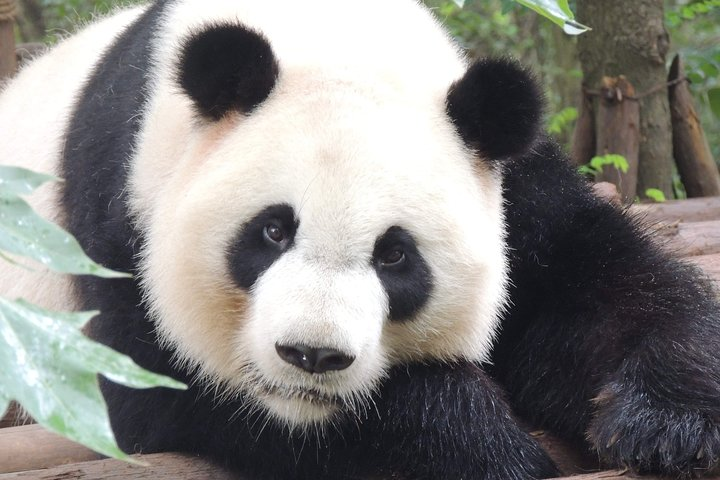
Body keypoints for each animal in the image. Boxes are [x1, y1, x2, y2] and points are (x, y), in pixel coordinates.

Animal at [1, 0, 719, 479]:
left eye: (395, 255)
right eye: (272, 230)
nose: (311, 355)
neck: (332, 35)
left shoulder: (508, 176)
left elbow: (597, 284)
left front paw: (671, 424)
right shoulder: (120, 200)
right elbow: (154, 381)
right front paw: (487, 449)